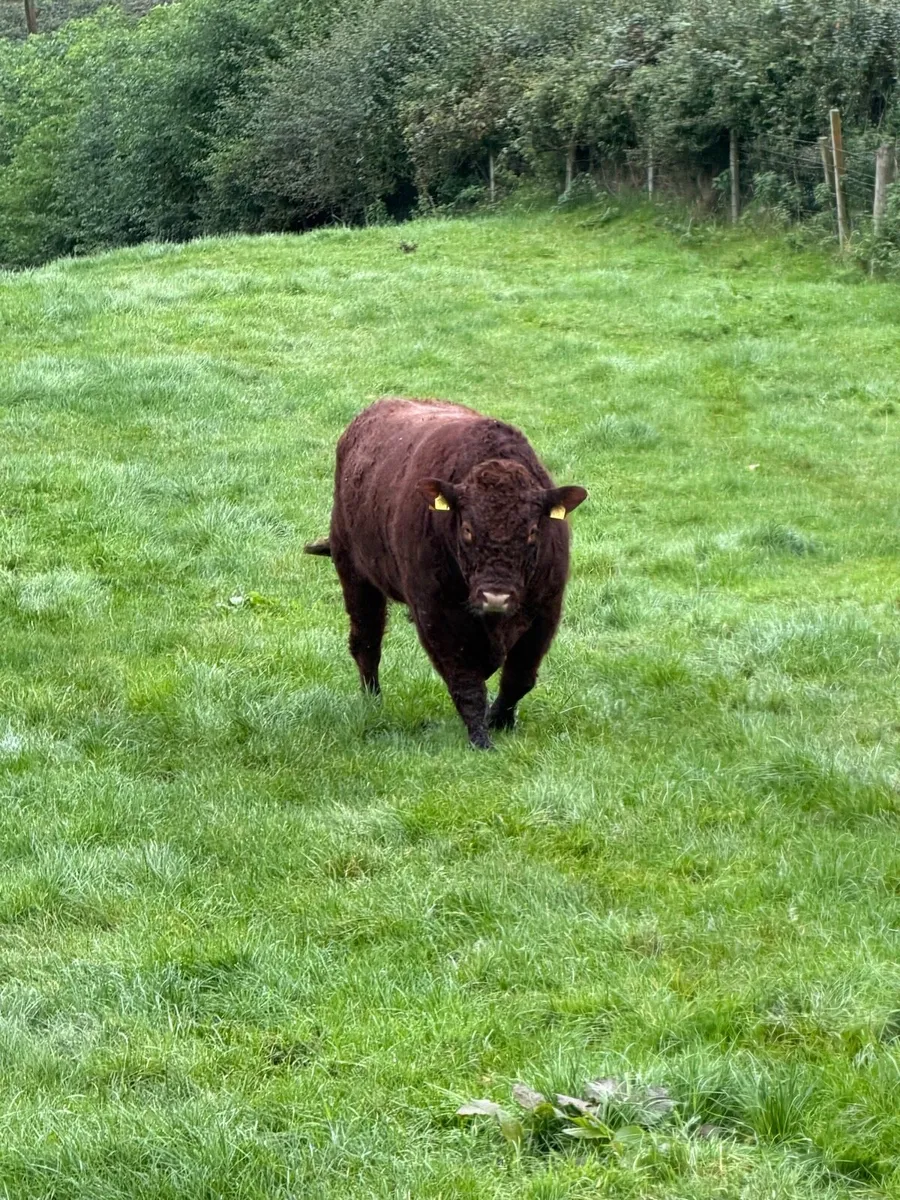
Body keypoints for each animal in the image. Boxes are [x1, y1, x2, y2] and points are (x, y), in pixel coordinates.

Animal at [305, 397, 587, 748]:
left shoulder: (545, 611)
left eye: (533, 532)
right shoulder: (437, 613)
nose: (496, 596)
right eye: (467, 529)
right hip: (355, 574)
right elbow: (465, 682)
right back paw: (372, 702)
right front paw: (481, 739)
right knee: (366, 643)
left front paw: (501, 721)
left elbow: (519, 678)